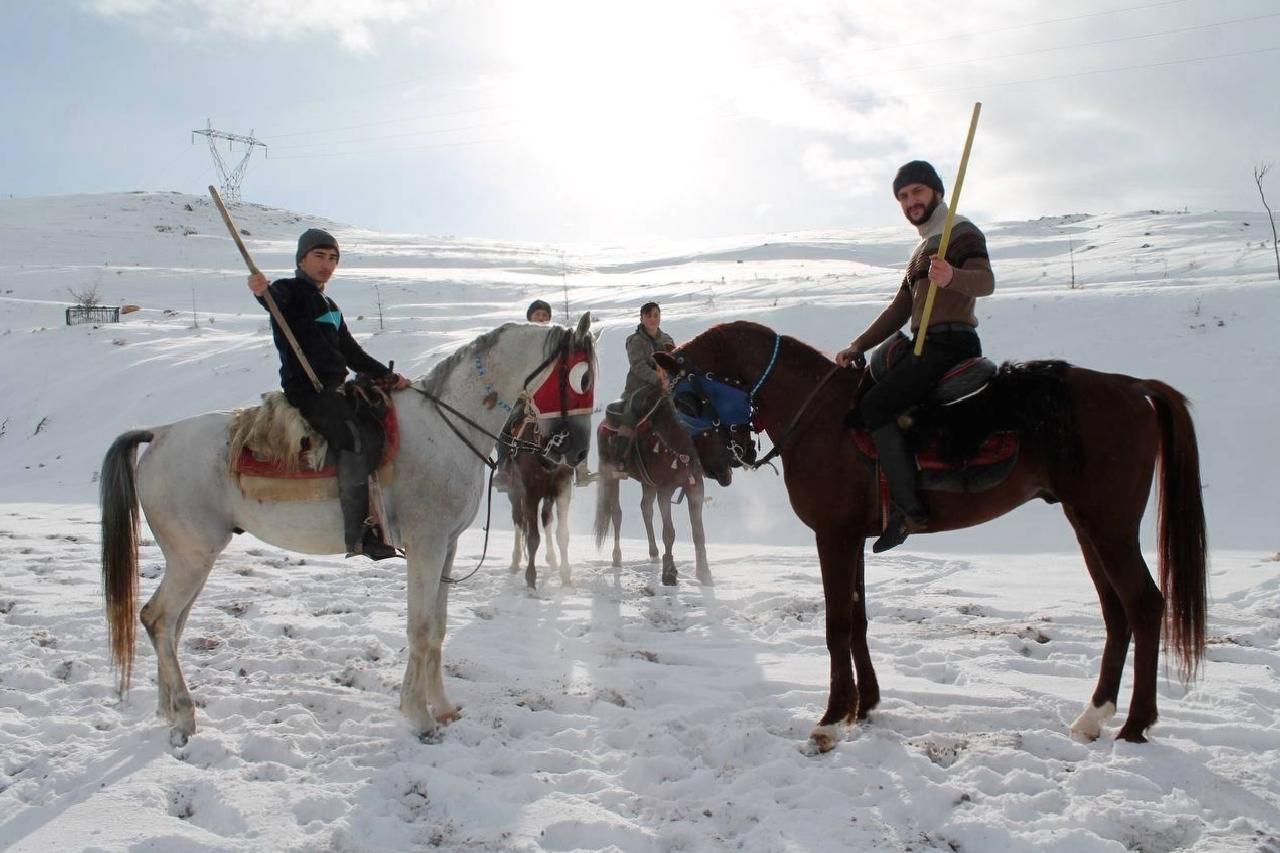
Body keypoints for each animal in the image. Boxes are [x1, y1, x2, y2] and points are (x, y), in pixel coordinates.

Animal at [102, 315, 596, 742]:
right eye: (582, 378)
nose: (575, 451)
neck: (447, 426)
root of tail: (161, 433)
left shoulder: (448, 548)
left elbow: (437, 628)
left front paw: (441, 706)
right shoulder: (426, 547)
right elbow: (420, 629)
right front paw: (418, 716)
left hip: (191, 560)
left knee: (169, 626)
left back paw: (169, 711)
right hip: (192, 557)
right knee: (159, 619)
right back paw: (185, 717)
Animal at [593, 391, 716, 584]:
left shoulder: (695, 487)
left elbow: (698, 532)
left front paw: (703, 572)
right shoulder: (664, 491)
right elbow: (669, 532)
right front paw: (669, 572)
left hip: (647, 483)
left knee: (646, 508)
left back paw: (653, 552)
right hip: (612, 478)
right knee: (616, 513)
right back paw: (617, 557)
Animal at [655, 320, 1203, 753]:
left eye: (685, 399)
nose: (714, 467)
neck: (818, 415)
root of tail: (1133, 386)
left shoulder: (833, 536)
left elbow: (836, 625)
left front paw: (830, 720)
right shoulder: (853, 537)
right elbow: (857, 620)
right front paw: (864, 706)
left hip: (1109, 526)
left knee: (1144, 605)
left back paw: (1135, 726)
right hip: (1088, 525)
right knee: (1117, 613)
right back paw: (1094, 717)